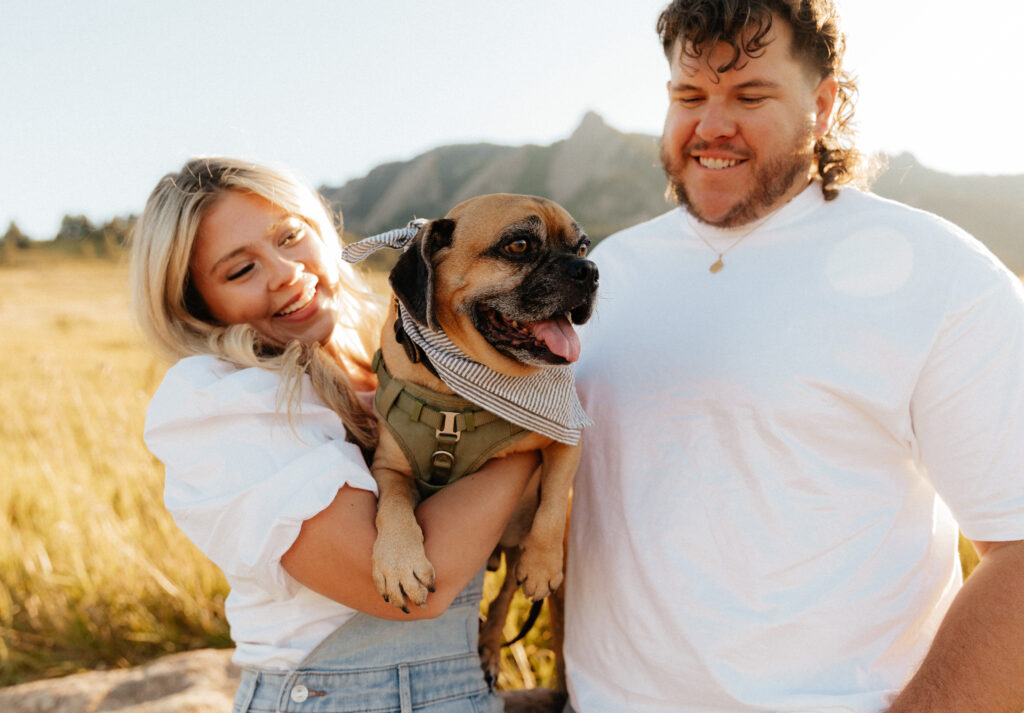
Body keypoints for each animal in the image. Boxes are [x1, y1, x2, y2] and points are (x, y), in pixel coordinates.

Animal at [360, 193, 598, 680]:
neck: (457, 394)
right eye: (519, 246)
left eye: (582, 247)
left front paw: (543, 563)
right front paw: (399, 564)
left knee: (507, 591)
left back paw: (490, 645)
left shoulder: (567, 439)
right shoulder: (389, 467)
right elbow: (392, 507)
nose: (589, 269)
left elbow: (552, 502)